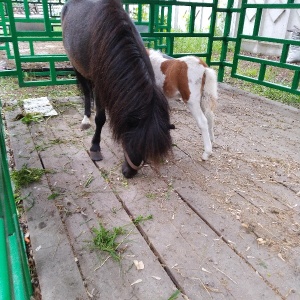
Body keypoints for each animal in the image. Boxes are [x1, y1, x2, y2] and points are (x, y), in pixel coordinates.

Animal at [61, 0, 171, 178]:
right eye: (132, 142)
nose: (129, 172)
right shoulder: (100, 87)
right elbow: (100, 118)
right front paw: (95, 147)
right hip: (76, 66)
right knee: (86, 91)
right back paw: (86, 119)